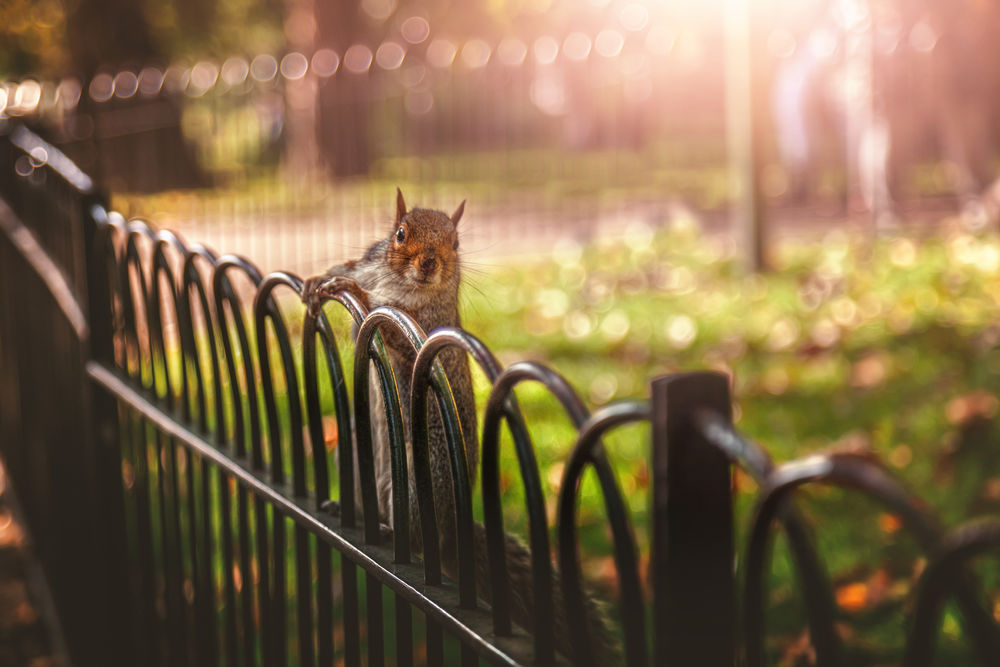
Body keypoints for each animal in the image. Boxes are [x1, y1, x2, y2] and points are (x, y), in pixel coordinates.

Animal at [302, 189, 619, 664]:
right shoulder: (370, 262)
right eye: (400, 234)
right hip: (357, 455)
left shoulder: (425, 327)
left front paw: (355, 292)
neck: (404, 286)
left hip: (422, 482)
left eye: (455, 242)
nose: (430, 263)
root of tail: (454, 532)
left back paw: (392, 533)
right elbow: (349, 268)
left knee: (417, 542)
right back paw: (349, 511)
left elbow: (394, 331)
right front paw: (320, 280)